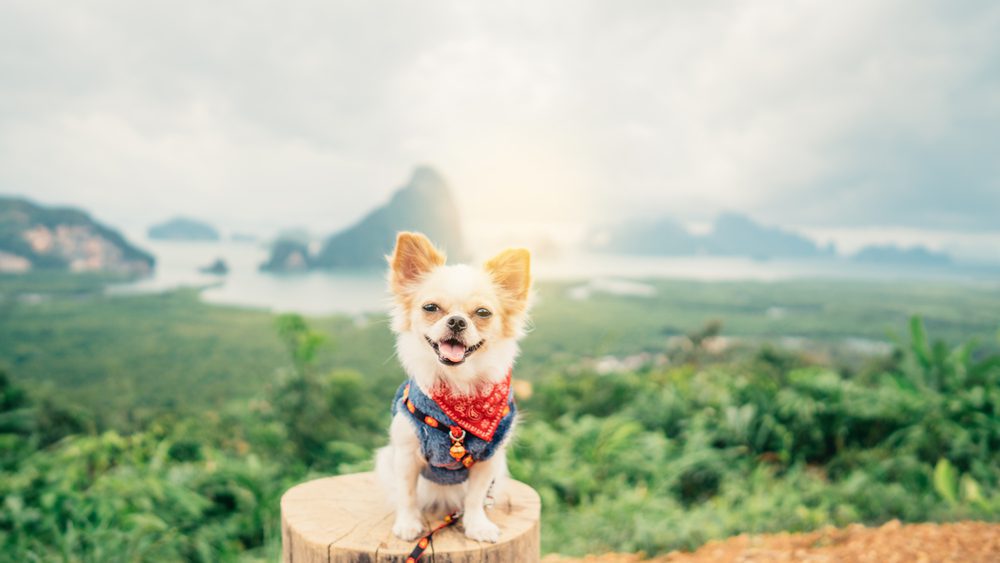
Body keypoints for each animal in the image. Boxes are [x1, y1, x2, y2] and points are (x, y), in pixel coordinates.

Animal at [376, 231, 532, 544]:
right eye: (430, 308)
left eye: (482, 313)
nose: (457, 321)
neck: (459, 388)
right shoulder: (406, 455)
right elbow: (407, 494)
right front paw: (408, 524)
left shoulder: (488, 460)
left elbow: (475, 497)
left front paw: (477, 525)